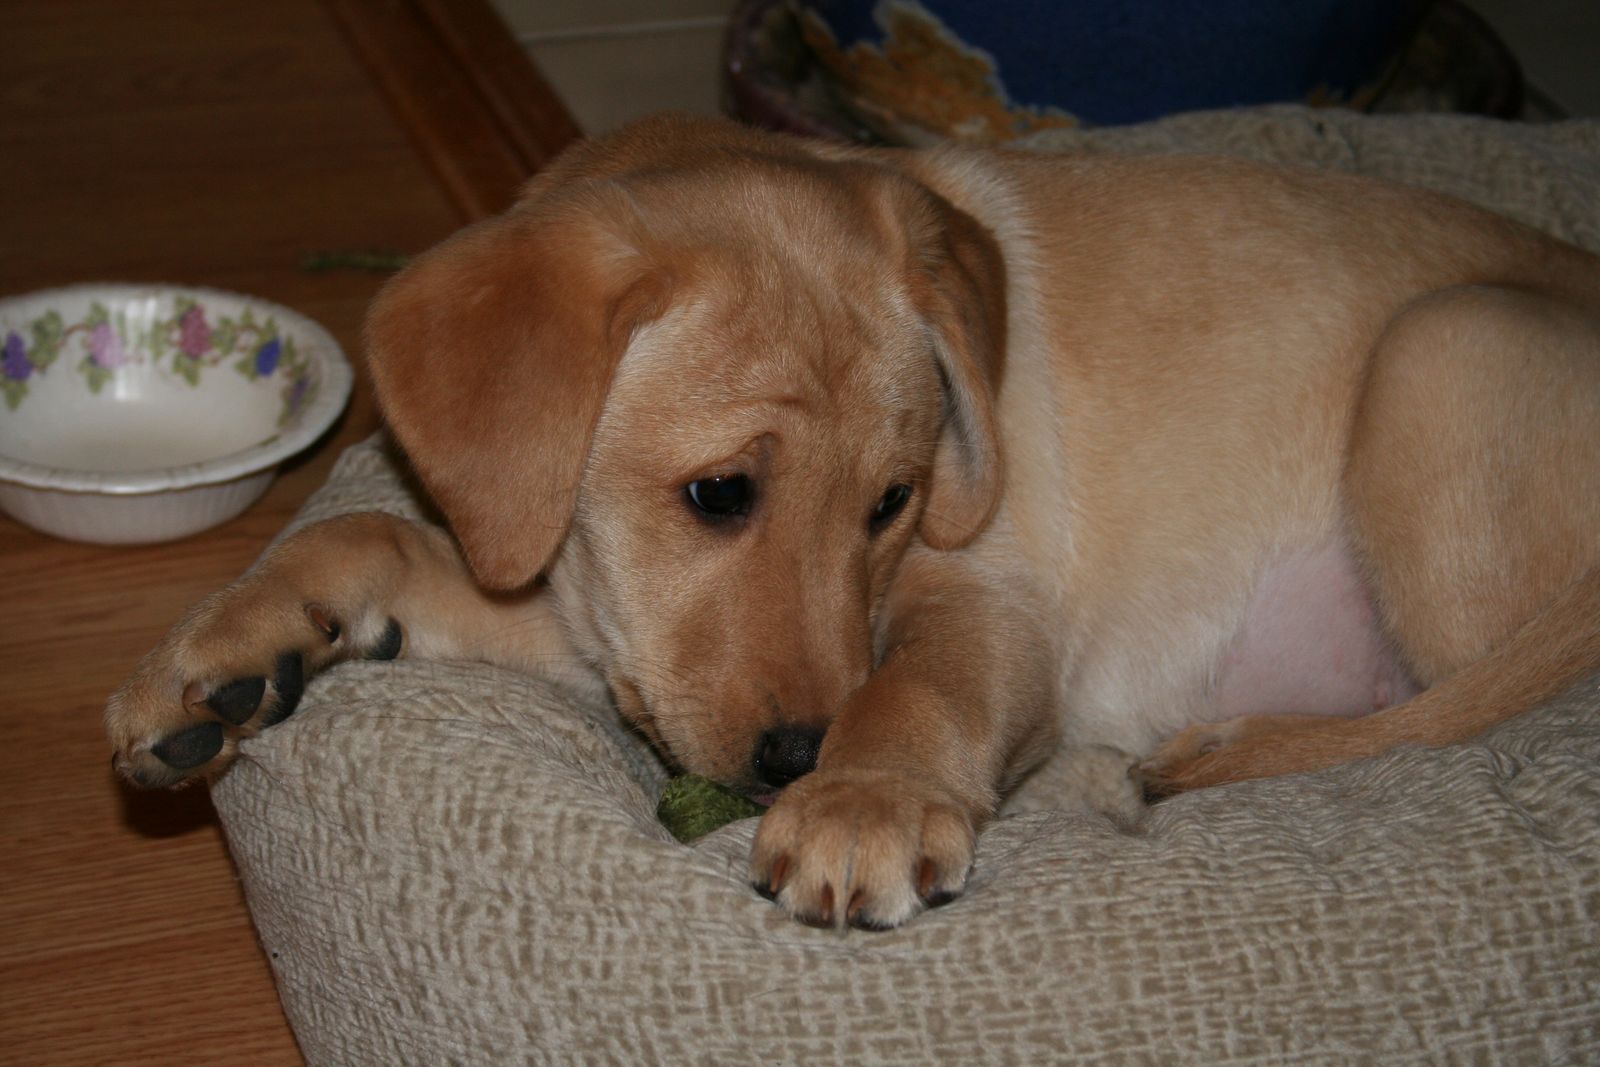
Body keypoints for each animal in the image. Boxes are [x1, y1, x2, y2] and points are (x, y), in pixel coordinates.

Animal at [108, 114, 1600, 930]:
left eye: (894, 500)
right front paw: (213, 652)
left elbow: (917, 683)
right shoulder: (591, 613)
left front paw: (865, 793)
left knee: (1474, 696)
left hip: (1439, 351)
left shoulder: (986, 601)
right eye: (718, 492)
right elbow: (369, 542)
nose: (789, 758)